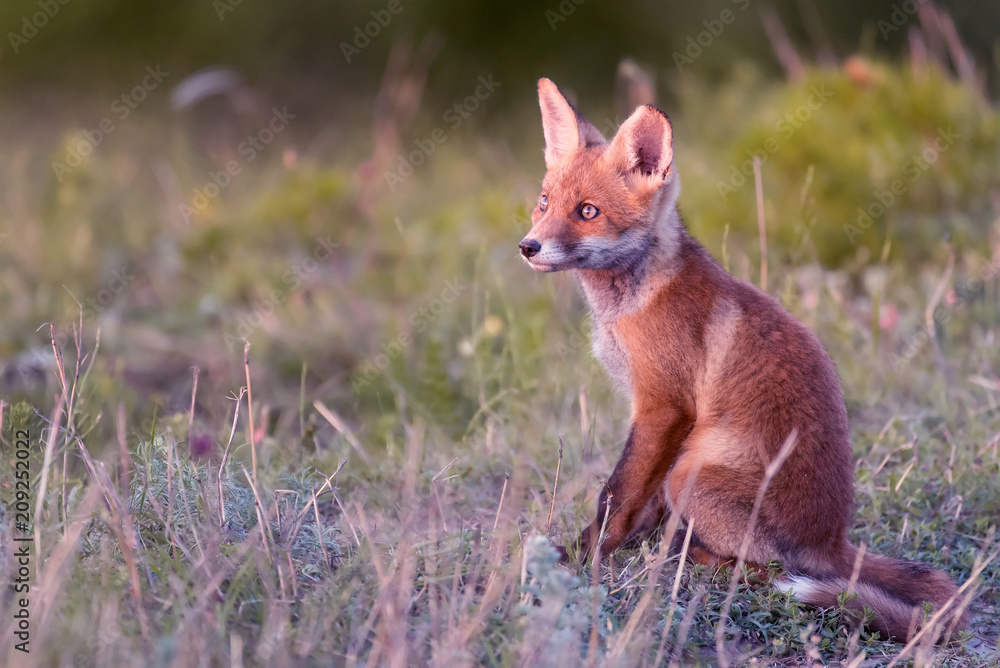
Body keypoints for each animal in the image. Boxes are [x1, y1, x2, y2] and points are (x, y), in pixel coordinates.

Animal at [518, 78, 966, 642]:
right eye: (544, 203)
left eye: (587, 212)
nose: (528, 246)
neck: (632, 302)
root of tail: (830, 540)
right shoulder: (660, 419)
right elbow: (637, 501)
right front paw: (628, 546)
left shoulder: (664, 408)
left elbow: (615, 496)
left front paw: (585, 556)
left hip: (691, 472)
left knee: (766, 570)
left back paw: (697, 560)